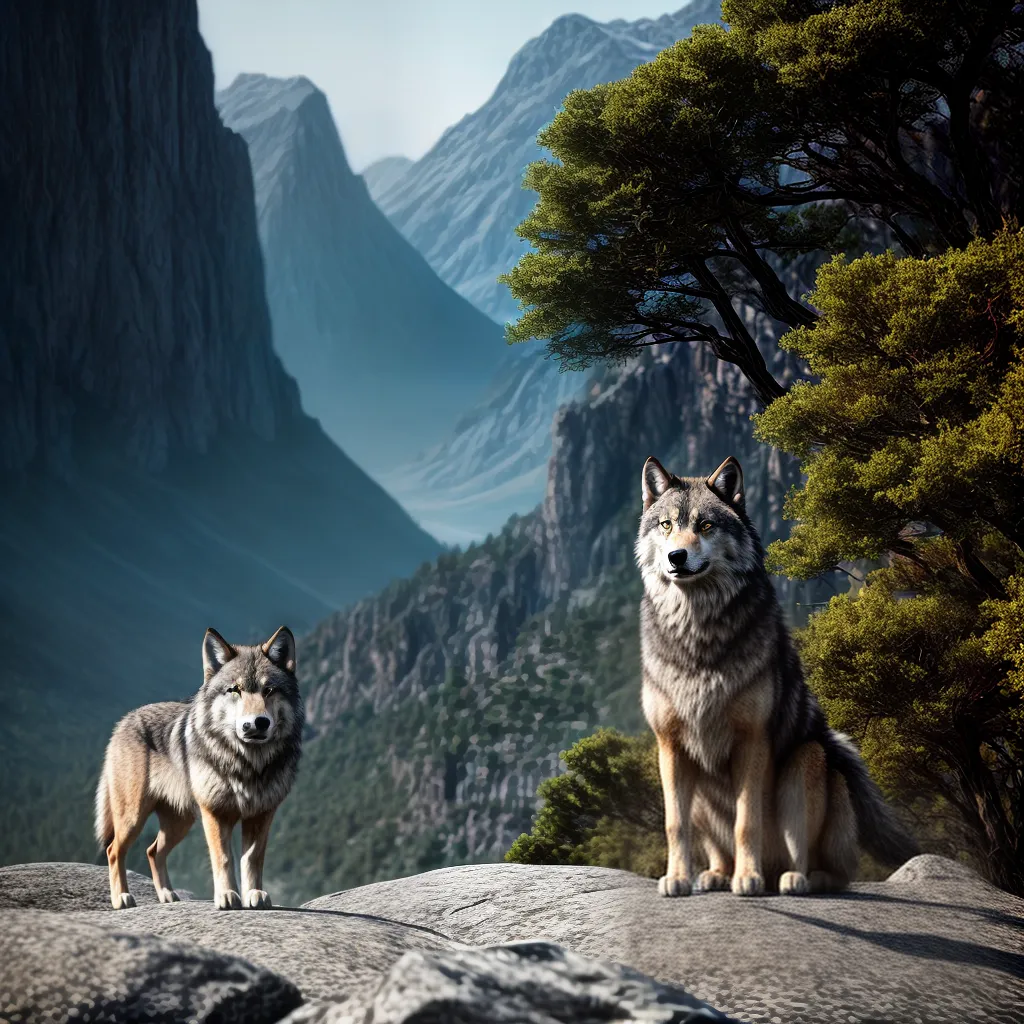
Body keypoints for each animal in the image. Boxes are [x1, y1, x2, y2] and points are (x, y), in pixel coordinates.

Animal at [95, 626, 303, 910]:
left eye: (269, 690)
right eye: (234, 690)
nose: (256, 723)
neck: (248, 763)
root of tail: (125, 721)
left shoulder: (261, 814)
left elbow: (252, 859)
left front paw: (254, 894)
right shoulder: (215, 813)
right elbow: (223, 858)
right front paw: (227, 896)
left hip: (180, 822)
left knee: (152, 850)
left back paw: (167, 895)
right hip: (133, 817)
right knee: (114, 850)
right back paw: (121, 898)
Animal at [636, 455, 918, 897]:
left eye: (706, 526)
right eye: (666, 525)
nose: (677, 557)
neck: (698, 632)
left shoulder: (752, 740)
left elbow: (746, 821)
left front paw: (747, 878)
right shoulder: (671, 745)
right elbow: (673, 825)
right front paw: (677, 878)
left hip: (805, 762)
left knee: (825, 866)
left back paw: (791, 879)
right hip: (700, 789)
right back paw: (717, 874)